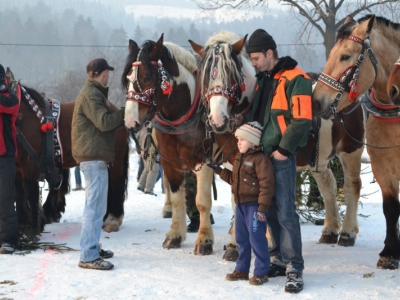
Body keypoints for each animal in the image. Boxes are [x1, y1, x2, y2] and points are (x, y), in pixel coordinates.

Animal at [5, 69, 130, 234]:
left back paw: (112, 220)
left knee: (116, 183)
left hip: (115, 161)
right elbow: (19, 195)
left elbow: (31, 193)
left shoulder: (30, 165)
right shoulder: (18, 167)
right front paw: (23, 227)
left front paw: (33, 228)